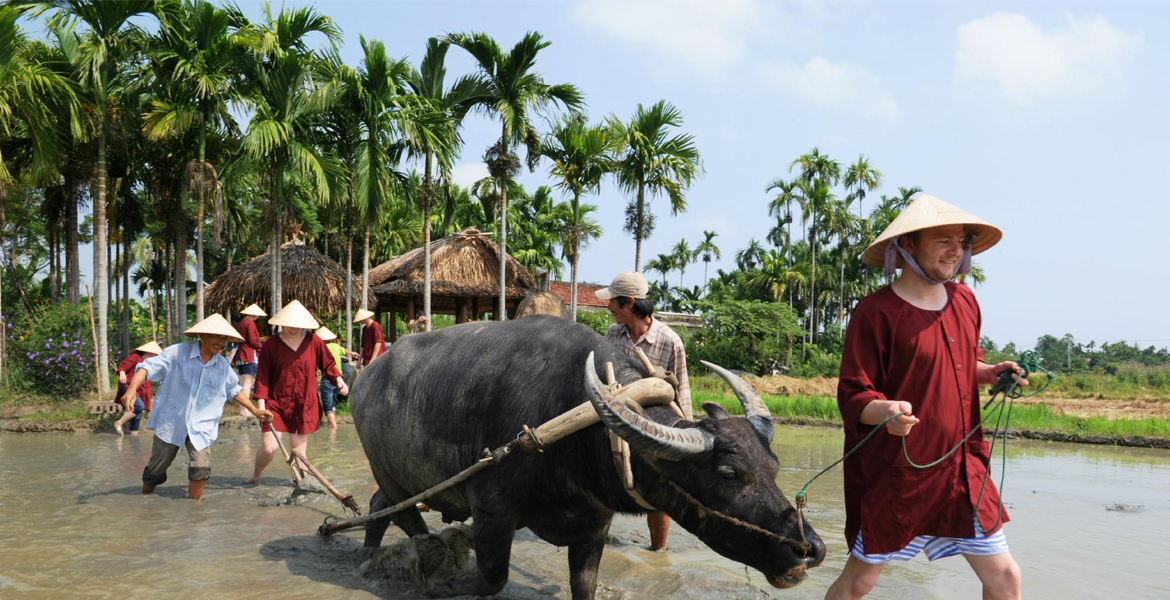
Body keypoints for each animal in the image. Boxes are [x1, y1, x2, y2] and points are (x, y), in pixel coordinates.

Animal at [351, 315, 828, 596]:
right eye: (729, 473)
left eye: (773, 468)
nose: (811, 551)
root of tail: (365, 377)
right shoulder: (493, 514)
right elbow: (490, 580)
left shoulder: (594, 526)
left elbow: (585, 585)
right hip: (390, 473)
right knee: (408, 521)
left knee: (376, 506)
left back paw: (367, 555)